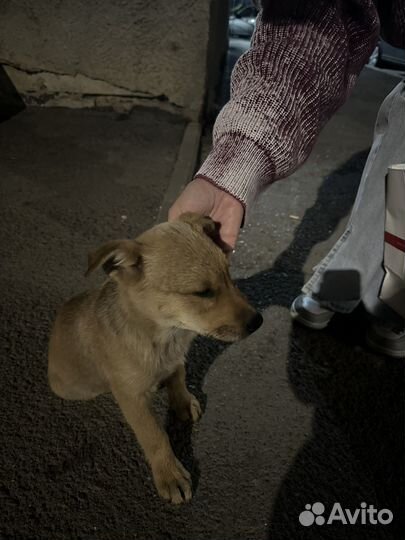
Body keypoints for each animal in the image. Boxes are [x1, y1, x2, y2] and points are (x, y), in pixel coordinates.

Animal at [47, 213, 262, 504]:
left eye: (229, 274)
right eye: (203, 292)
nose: (258, 321)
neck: (164, 335)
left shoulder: (176, 358)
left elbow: (178, 377)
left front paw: (182, 402)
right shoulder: (132, 397)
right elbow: (155, 436)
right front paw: (170, 475)